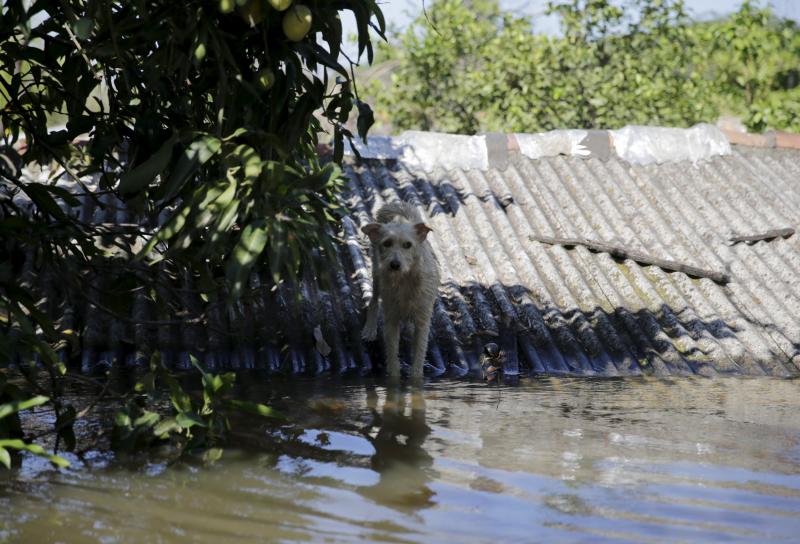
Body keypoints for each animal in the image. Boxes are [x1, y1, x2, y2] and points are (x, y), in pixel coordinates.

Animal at [360, 202, 440, 376]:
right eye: (387, 243)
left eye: (408, 245)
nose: (395, 265)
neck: (404, 281)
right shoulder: (391, 320)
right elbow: (392, 356)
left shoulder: (422, 322)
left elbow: (418, 357)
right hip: (377, 275)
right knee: (373, 301)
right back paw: (369, 329)